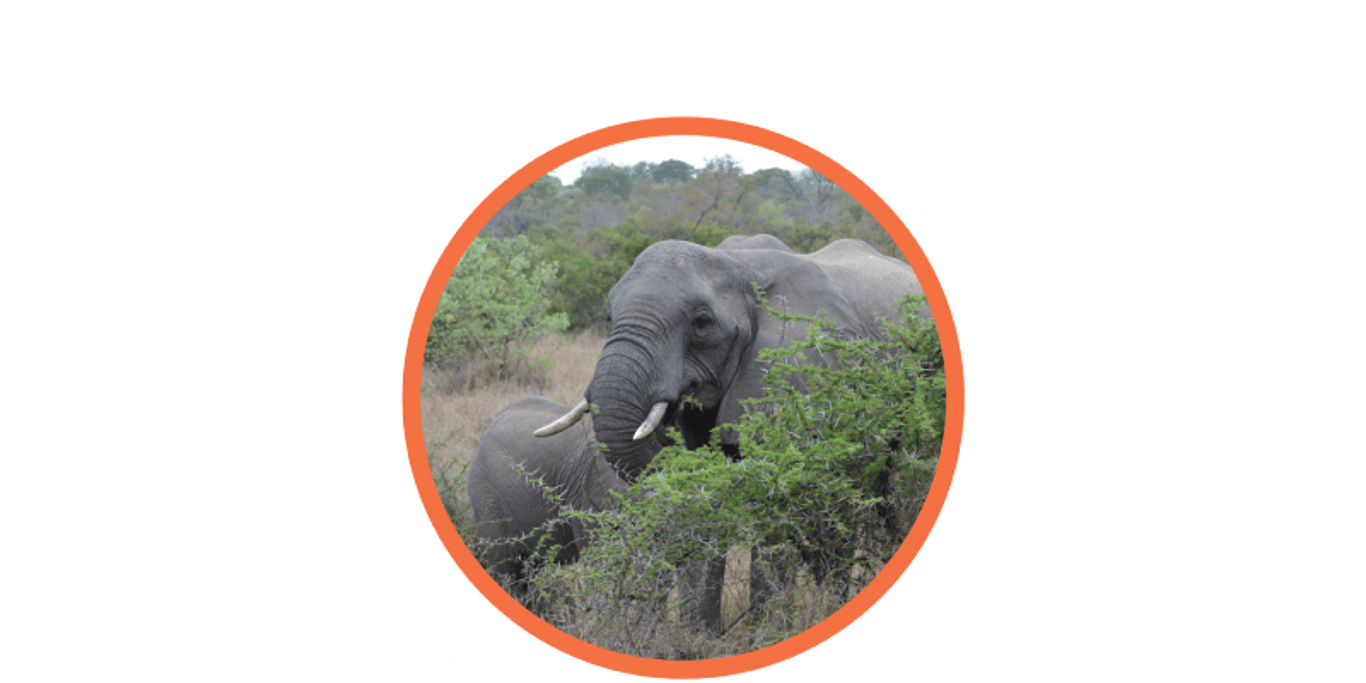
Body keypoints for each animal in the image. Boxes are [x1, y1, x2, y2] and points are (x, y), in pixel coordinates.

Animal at [534, 234, 929, 632]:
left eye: (702, 323)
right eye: (609, 317)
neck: (741, 265)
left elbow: (775, 508)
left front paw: (766, 633)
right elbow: (703, 496)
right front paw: (698, 640)